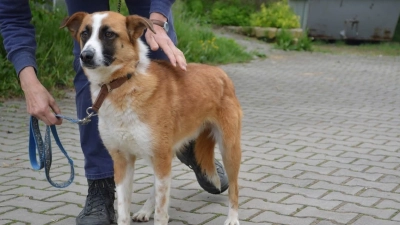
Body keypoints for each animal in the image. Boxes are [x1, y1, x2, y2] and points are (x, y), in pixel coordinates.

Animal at [61, 11, 242, 225]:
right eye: (84, 34)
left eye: (109, 34)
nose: (85, 56)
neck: (122, 84)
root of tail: (221, 73)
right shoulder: (122, 161)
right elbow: (123, 210)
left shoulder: (160, 157)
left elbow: (161, 213)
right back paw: (145, 210)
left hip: (229, 149)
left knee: (234, 188)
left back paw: (232, 218)